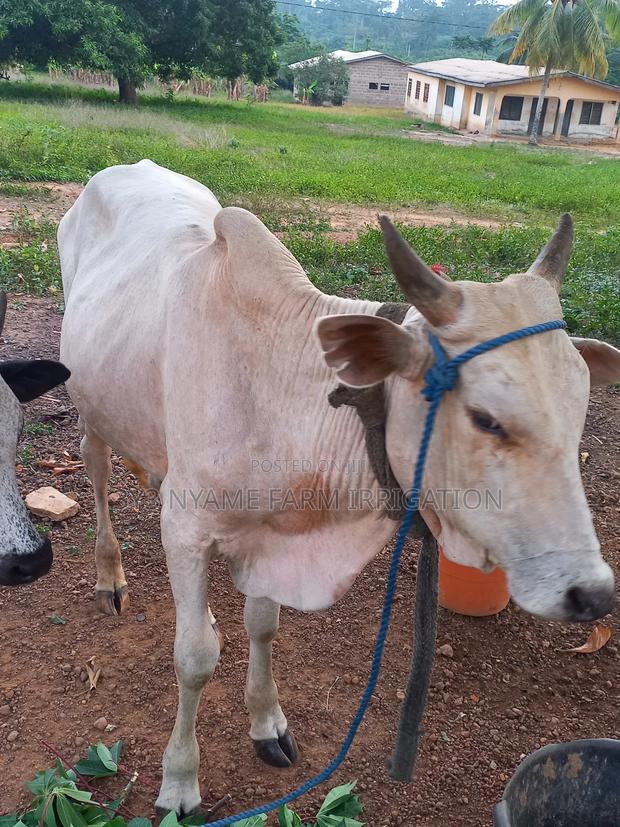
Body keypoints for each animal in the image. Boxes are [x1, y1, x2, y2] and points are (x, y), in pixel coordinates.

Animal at [58, 160, 619, 815]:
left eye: (579, 409)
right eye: (486, 419)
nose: (592, 593)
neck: (283, 390)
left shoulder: (268, 535)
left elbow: (262, 625)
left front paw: (266, 722)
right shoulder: (189, 527)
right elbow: (194, 659)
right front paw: (179, 782)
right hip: (89, 407)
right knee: (97, 474)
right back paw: (109, 577)